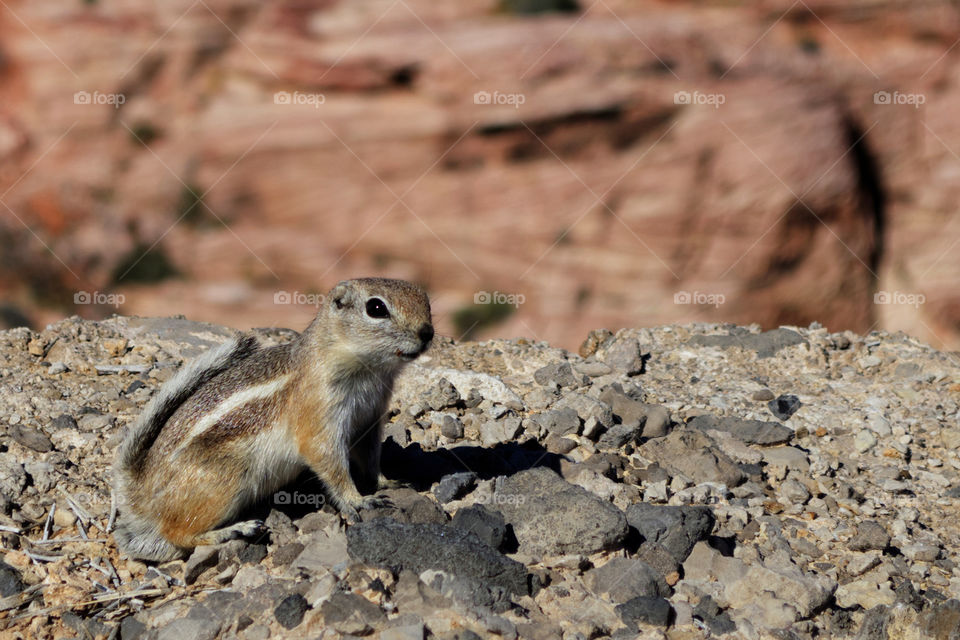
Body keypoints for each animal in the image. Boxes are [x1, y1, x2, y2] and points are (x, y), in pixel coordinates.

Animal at [109, 278, 436, 560]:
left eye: (425, 298)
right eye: (376, 308)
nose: (427, 333)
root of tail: (140, 490)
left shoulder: (368, 421)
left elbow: (369, 458)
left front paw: (386, 482)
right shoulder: (319, 418)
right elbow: (329, 462)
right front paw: (358, 500)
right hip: (223, 482)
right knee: (176, 533)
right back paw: (233, 531)